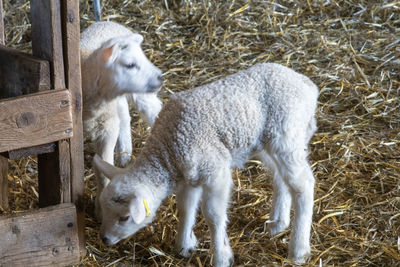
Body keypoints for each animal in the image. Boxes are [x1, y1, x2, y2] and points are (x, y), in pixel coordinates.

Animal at [79, 21, 162, 218]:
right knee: (124, 116)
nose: (160, 77)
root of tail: (108, 21)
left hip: (139, 96)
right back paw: (125, 153)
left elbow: (103, 167)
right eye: (130, 65)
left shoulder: (106, 128)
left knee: (152, 110)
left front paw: (100, 209)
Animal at [92, 62, 318, 266]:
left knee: (304, 185)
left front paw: (221, 256)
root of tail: (307, 85)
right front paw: (183, 245)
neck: (167, 150)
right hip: (268, 142)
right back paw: (278, 223)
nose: (104, 239)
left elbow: (213, 215)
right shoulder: (189, 176)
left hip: (286, 134)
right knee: (281, 179)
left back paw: (299, 250)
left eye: (125, 217)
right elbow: (186, 207)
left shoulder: (215, 171)